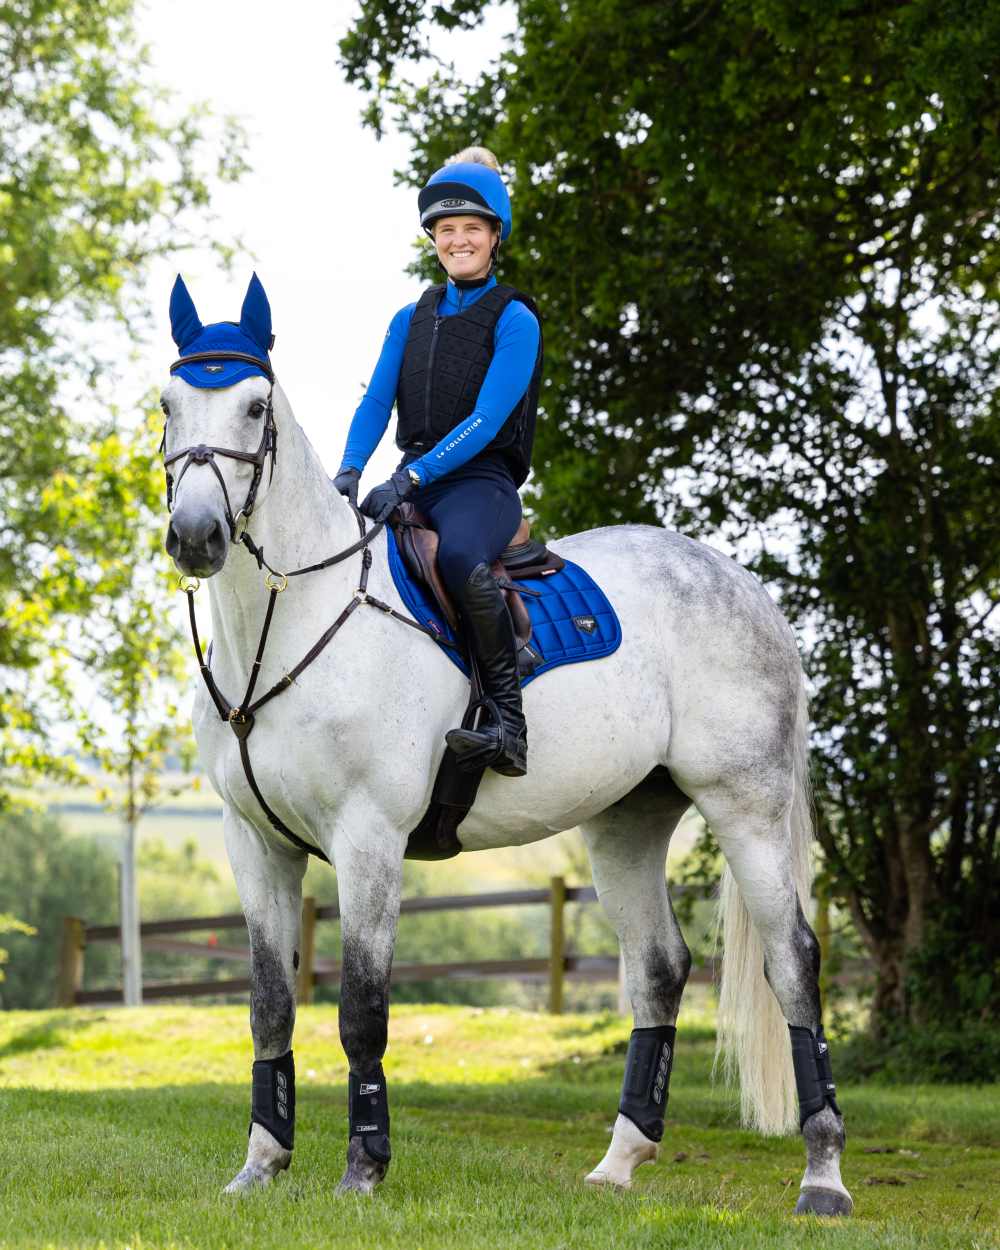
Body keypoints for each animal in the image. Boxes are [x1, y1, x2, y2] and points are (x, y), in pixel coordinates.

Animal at [162, 357, 850, 1215]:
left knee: (792, 963)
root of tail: (745, 586)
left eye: (256, 407)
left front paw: (363, 1169)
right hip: (627, 822)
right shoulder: (255, 844)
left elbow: (361, 1011)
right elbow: (269, 1008)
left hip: (746, 807)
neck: (292, 621)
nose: (196, 534)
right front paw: (260, 1165)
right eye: (168, 404)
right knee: (660, 967)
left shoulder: (368, 840)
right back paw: (620, 1162)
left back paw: (822, 1178)